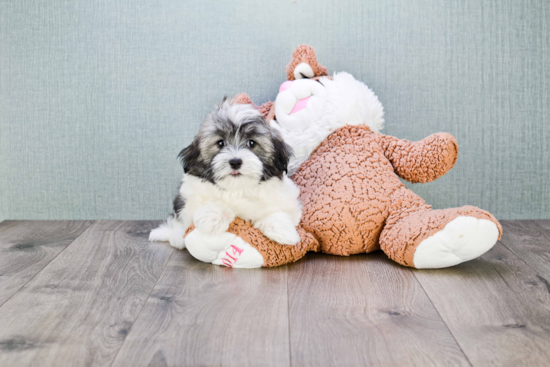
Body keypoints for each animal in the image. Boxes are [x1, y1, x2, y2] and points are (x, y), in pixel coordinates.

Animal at [150, 98, 302, 250]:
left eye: (251, 143)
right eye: (220, 143)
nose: (235, 162)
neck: (237, 188)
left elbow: (276, 210)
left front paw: (282, 229)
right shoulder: (190, 195)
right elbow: (207, 201)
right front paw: (213, 217)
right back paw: (177, 236)